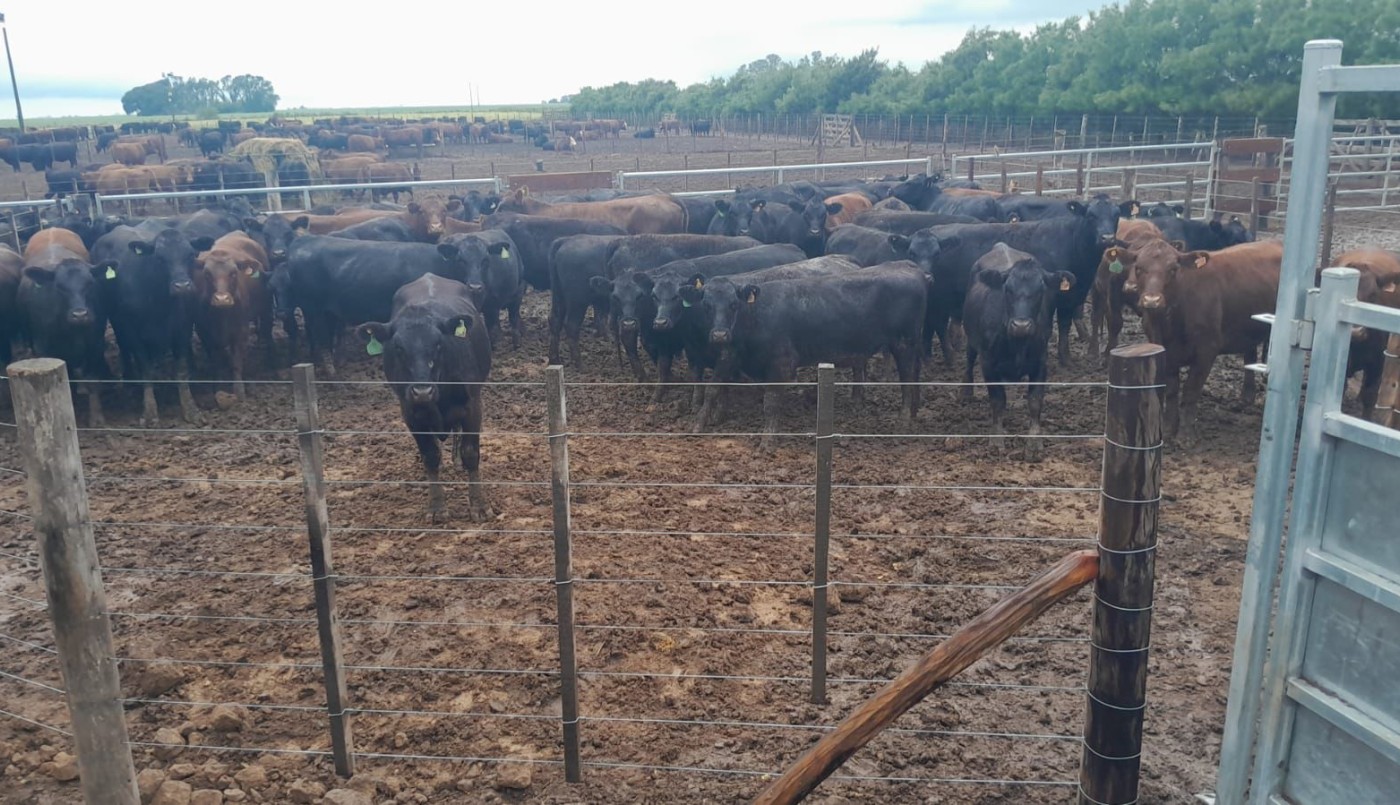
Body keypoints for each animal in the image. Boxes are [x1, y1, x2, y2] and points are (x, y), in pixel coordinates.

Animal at [15, 235, 108, 424]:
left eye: (90, 283)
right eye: (59, 286)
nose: (80, 314)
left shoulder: (95, 344)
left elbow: (92, 379)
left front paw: (96, 418)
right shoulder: (44, 348)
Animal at [193, 232, 270, 396]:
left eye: (233, 273)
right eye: (207, 274)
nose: (222, 299)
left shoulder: (240, 331)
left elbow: (236, 361)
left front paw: (239, 390)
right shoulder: (205, 333)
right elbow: (216, 360)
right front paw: (218, 386)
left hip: (267, 308)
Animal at [356, 274, 493, 522]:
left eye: (438, 343)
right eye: (398, 347)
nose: (422, 391)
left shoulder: (473, 406)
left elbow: (471, 452)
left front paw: (479, 505)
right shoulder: (410, 413)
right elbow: (430, 455)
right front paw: (436, 507)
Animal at [962, 244, 1077, 461]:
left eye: (1041, 290)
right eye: (1007, 289)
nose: (1021, 325)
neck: (1017, 343)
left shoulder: (1041, 364)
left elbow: (1035, 402)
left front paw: (1034, 444)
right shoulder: (988, 364)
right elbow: (998, 401)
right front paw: (996, 441)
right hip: (972, 339)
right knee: (969, 357)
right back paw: (966, 390)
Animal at [1119, 238, 1284, 441]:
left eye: (1173, 269)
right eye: (1139, 268)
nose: (1151, 300)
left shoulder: (1207, 350)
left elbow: (1191, 390)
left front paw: (1186, 434)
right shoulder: (1164, 349)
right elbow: (1172, 389)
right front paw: (1169, 428)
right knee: (1249, 354)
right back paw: (1245, 398)